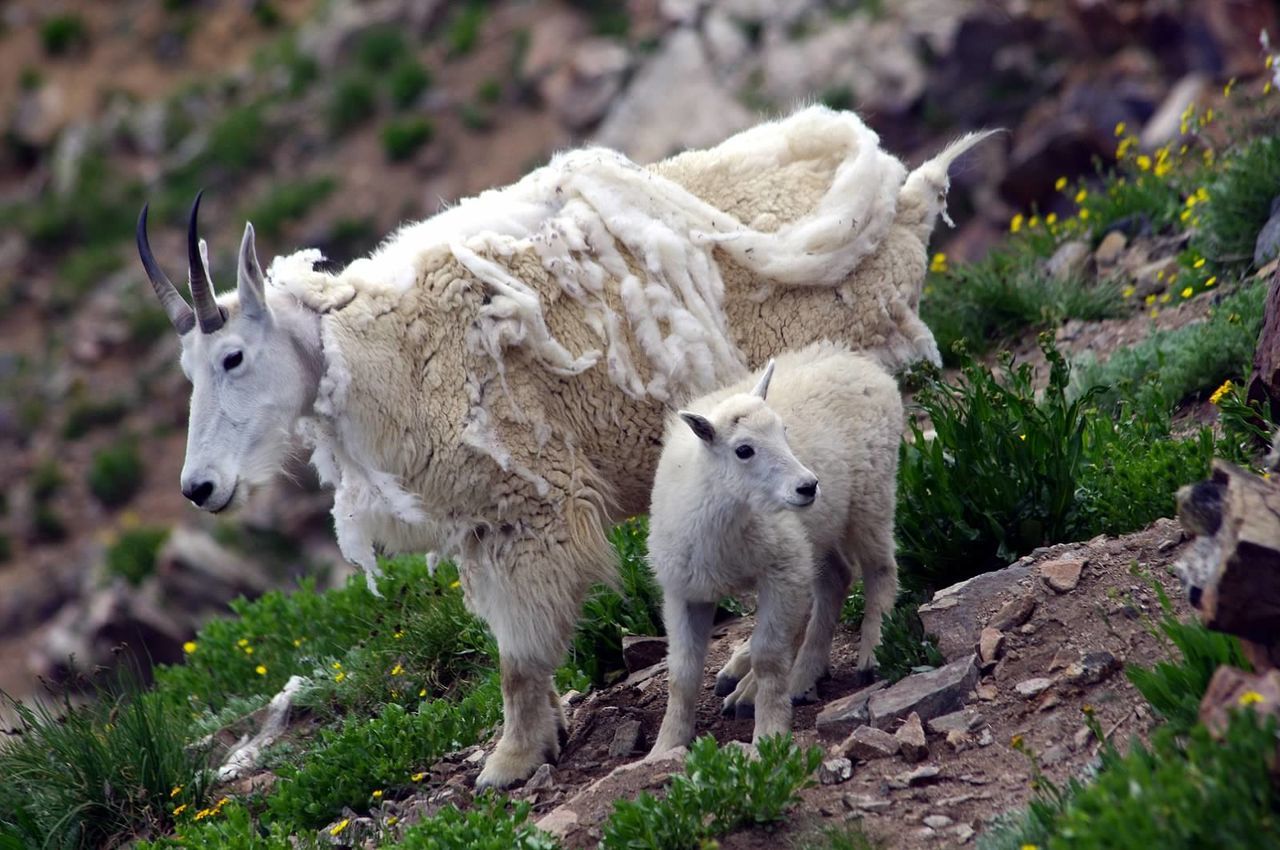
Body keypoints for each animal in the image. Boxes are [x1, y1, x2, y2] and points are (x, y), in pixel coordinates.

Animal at [650, 343, 901, 752]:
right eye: (744, 450)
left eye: (784, 431)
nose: (808, 486)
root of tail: (857, 361)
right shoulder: (684, 591)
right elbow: (682, 672)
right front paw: (666, 746)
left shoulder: (781, 571)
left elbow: (768, 656)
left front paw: (769, 733)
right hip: (817, 531)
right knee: (836, 578)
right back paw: (803, 675)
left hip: (870, 495)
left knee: (880, 568)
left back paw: (871, 653)